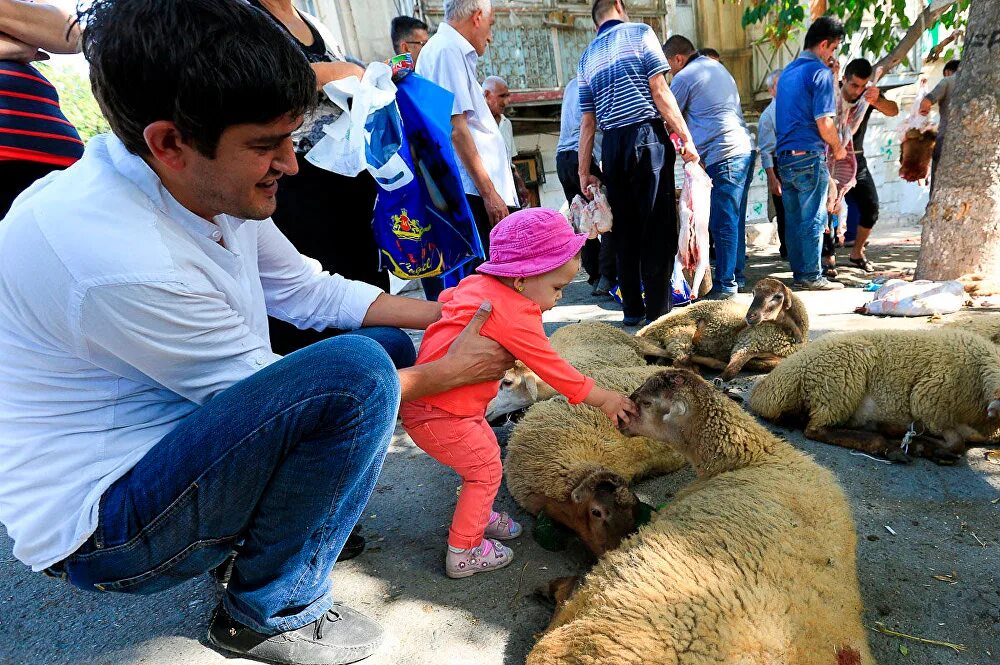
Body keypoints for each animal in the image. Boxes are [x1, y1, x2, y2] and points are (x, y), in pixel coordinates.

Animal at [636, 276, 808, 378]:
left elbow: (774, 362)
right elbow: (732, 370)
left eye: (777, 296)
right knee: (680, 361)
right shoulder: (744, 343)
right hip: (680, 332)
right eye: (753, 293)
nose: (750, 316)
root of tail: (644, 331)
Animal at [752, 326, 1000, 462]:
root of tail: (765, 392)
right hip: (839, 381)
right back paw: (887, 445)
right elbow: (956, 442)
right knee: (816, 429)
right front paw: (929, 448)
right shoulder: (929, 402)